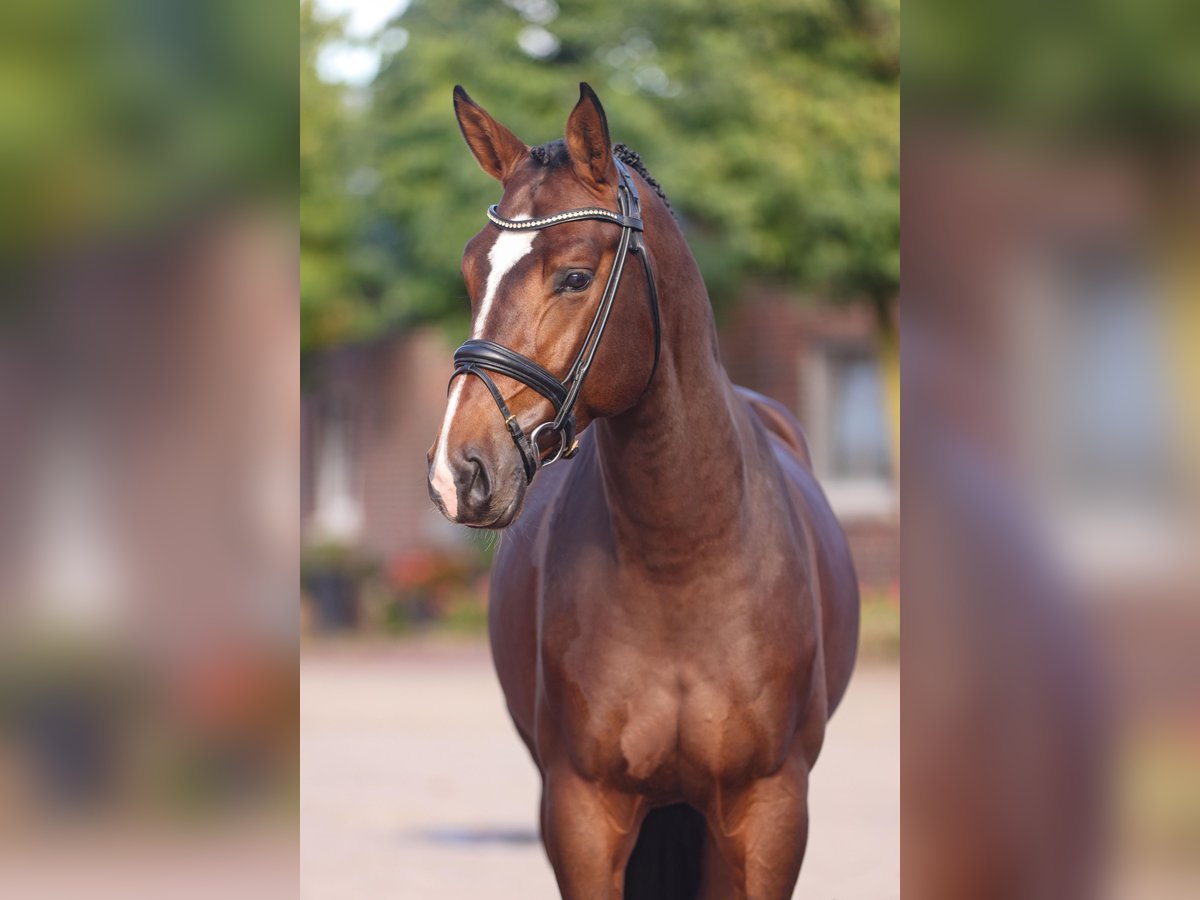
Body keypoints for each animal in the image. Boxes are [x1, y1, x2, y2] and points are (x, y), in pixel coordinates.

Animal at [427, 82, 859, 897]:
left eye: (574, 275)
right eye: (472, 273)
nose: (456, 473)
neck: (682, 562)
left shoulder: (770, 813)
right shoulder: (582, 814)